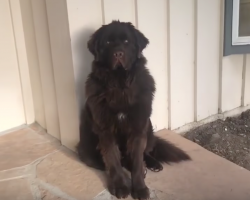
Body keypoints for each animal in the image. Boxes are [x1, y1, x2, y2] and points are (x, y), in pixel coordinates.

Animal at [77, 21, 190, 199]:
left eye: (126, 41)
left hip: (148, 126)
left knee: (146, 151)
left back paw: (152, 164)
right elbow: (113, 160)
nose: (118, 53)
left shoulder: (138, 127)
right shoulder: (106, 130)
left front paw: (140, 188)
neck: (120, 84)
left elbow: (137, 160)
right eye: (107, 42)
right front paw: (120, 187)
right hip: (87, 148)